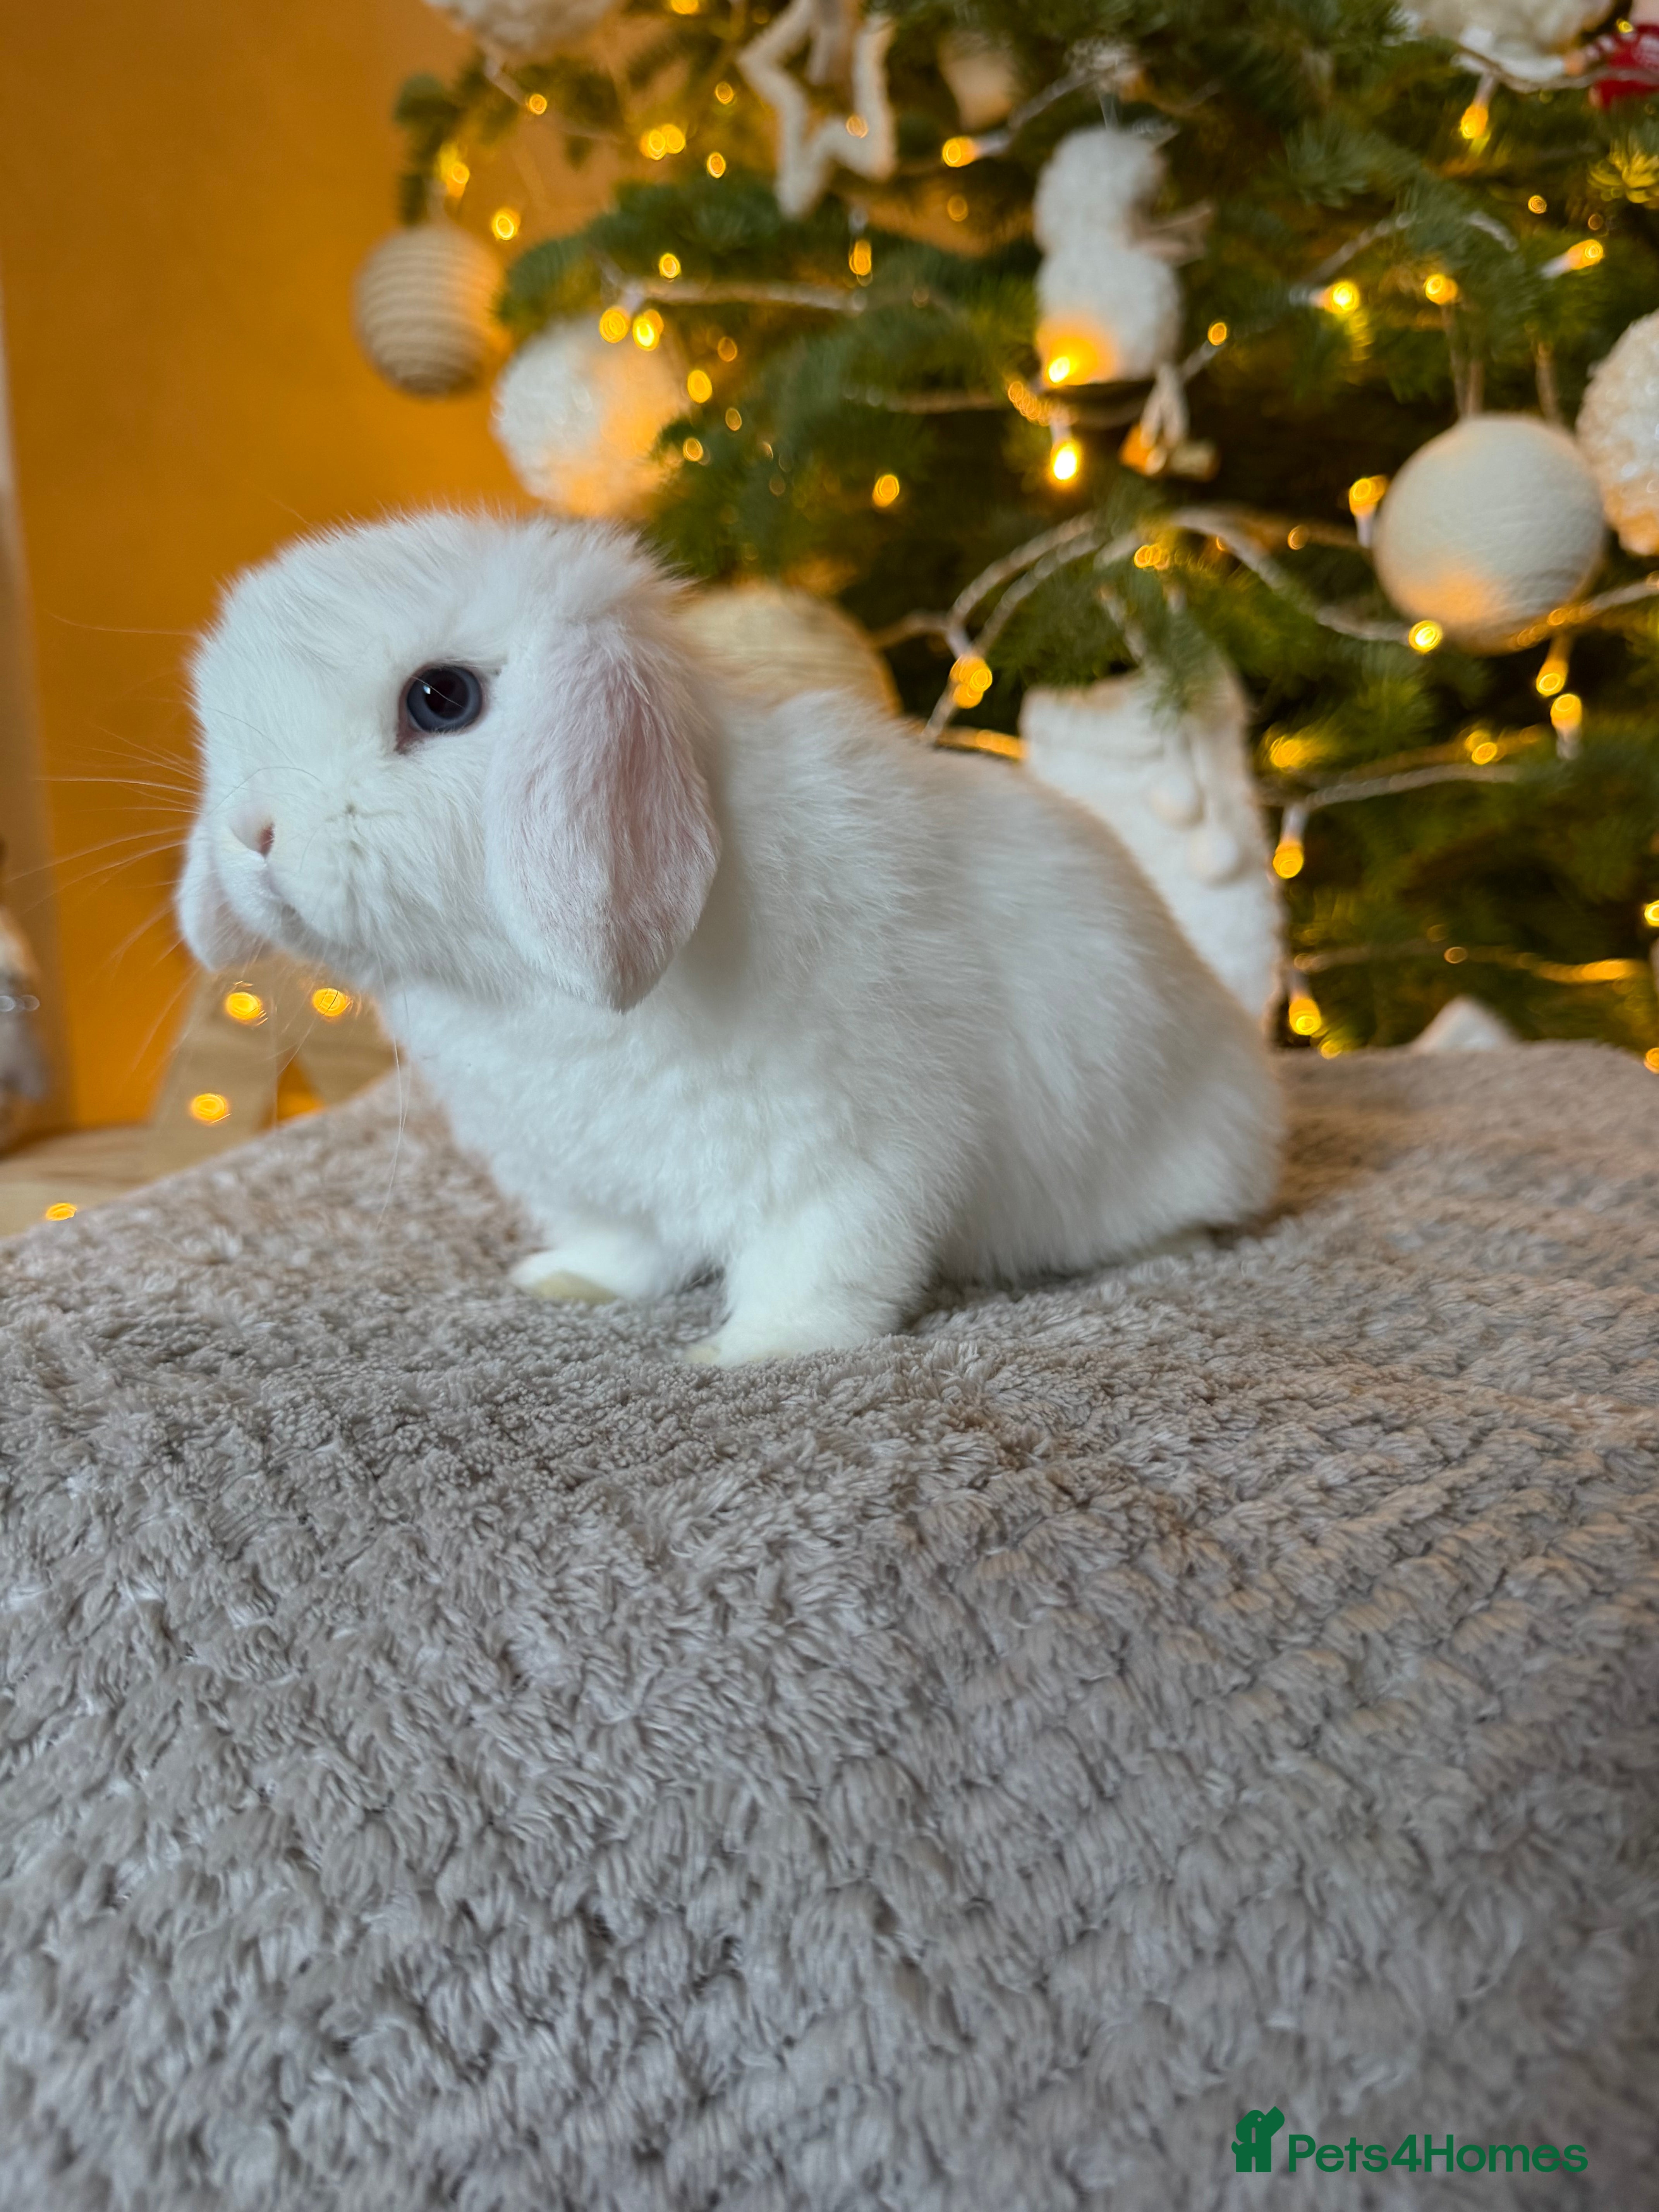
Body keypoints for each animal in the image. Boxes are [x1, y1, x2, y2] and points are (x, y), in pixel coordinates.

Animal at [180, 509, 1282, 1364]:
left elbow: (824, 1269)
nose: (254, 833)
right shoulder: (595, 1182)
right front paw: (565, 1285)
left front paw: (747, 1356)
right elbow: (622, 1251)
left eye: (441, 699)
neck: (516, 993)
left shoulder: (848, 1156)